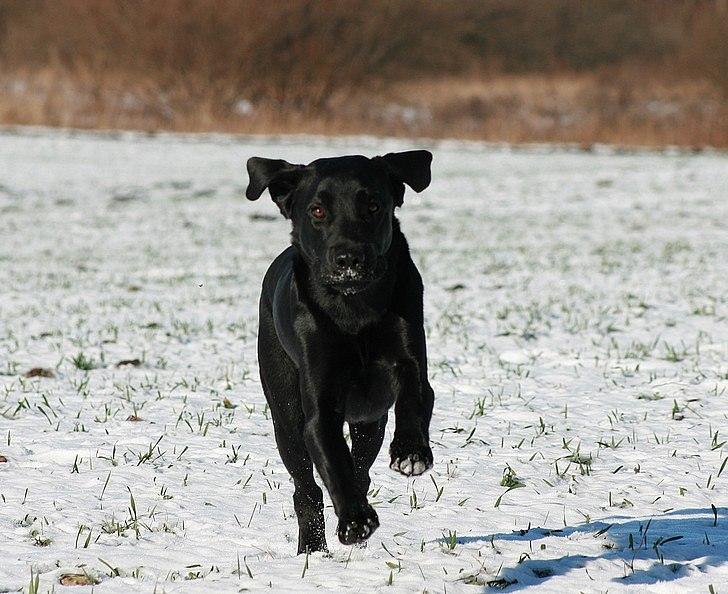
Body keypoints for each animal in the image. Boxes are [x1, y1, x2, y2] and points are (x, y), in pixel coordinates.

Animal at [246, 148, 438, 552]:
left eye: (373, 205)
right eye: (317, 210)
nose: (349, 259)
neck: (354, 311)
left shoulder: (410, 361)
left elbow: (414, 397)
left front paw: (411, 452)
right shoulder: (319, 408)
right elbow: (334, 463)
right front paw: (355, 520)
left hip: (371, 422)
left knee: (361, 467)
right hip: (285, 417)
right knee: (306, 489)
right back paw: (313, 548)